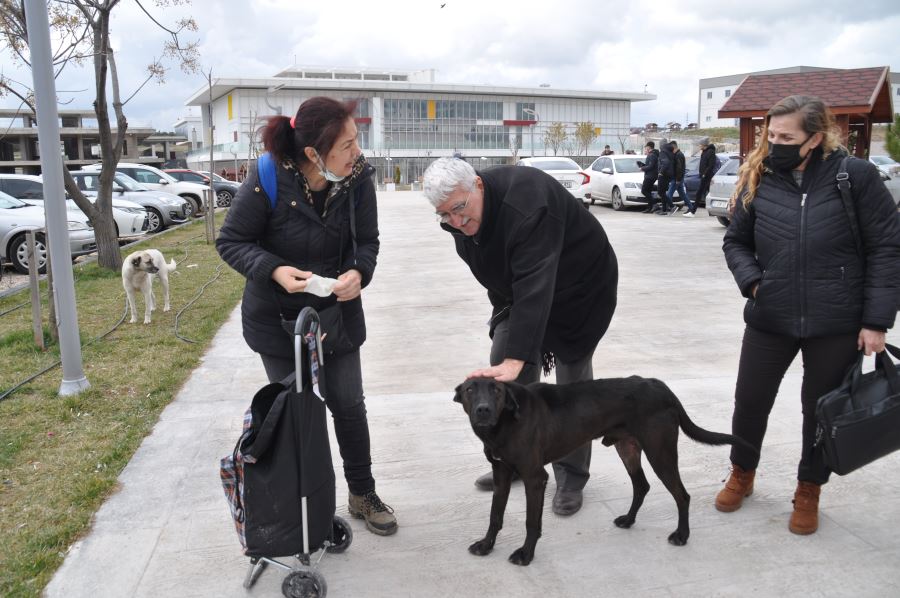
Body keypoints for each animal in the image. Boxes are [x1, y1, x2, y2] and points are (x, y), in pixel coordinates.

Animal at [454, 378, 756, 568]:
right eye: (470, 390)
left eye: (496, 390)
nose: (483, 410)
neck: (504, 422)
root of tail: (661, 386)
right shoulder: (501, 474)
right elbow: (495, 515)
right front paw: (486, 545)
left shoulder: (535, 478)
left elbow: (532, 522)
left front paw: (525, 554)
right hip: (627, 447)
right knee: (642, 486)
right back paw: (629, 520)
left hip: (661, 453)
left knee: (682, 495)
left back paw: (681, 535)